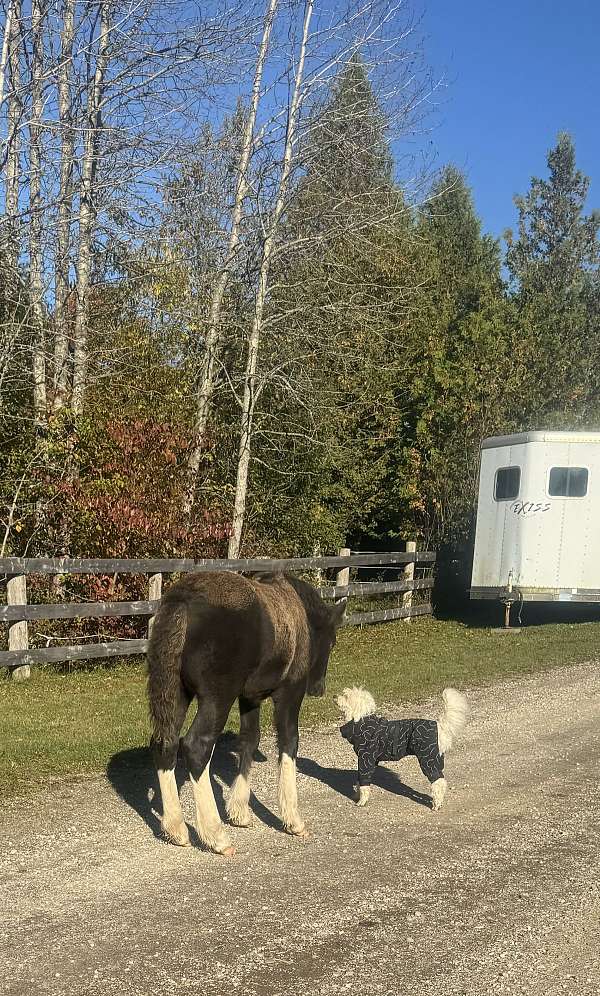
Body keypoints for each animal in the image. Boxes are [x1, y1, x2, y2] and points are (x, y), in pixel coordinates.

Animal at [338, 688, 468, 812]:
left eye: (345, 696)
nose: (335, 696)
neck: (361, 723)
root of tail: (439, 726)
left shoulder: (366, 759)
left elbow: (364, 783)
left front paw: (362, 801)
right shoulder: (370, 762)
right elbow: (360, 780)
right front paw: (357, 795)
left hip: (428, 759)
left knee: (438, 782)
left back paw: (436, 804)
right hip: (436, 758)